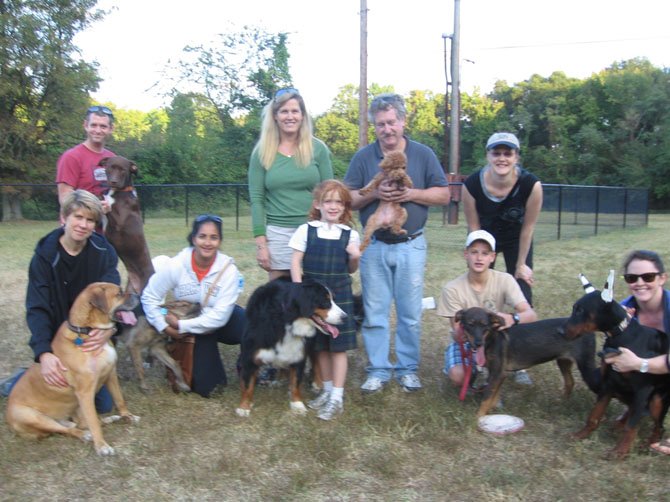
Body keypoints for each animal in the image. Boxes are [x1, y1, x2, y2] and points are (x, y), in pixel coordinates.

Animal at [5, 282, 142, 454]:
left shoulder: (111, 374)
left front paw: (128, 416)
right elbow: (93, 423)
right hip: (35, 417)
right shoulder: (85, 393)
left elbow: (119, 400)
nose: (138, 294)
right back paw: (86, 435)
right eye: (119, 293)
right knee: (70, 429)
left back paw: (111, 419)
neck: (87, 330)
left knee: (84, 423)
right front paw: (101, 446)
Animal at [99, 155, 154, 292]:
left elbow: (106, 203)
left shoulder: (119, 221)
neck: (120, 191)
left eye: (123, 170)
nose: (113, 182)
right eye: (110, 167)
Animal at [236, 278, 346, 416]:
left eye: (333, 299)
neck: (286, 319)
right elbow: (247, 385)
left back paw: (317, 382)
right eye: (325, 301)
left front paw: (297, 404)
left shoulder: (299, 353)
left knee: (316, 361)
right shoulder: (249, 356)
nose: (345, 317)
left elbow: (295, 382)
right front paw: (244, 407)